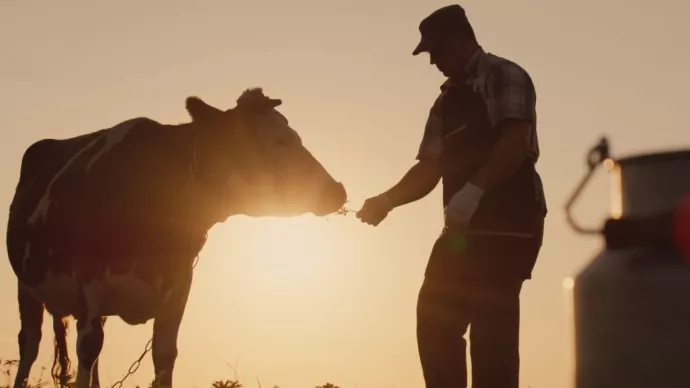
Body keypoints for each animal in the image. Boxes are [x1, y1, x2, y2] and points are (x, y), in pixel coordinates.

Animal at [4, 88, 350, 388]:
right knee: (30, 345)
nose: (338, 190)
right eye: (280, 141)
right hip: (27, 287)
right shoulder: (90, 282)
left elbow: (164, 355)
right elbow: (88, 349)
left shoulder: (179, 287)